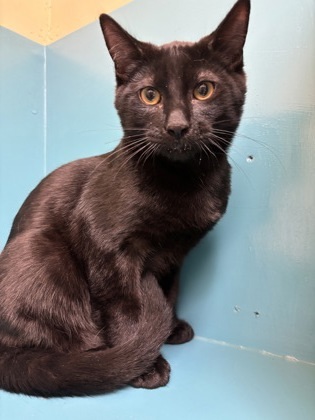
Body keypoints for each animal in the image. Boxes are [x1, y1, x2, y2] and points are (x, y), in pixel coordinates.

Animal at [0, 0, 252, 398]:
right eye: (150, 95)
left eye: (204, 90)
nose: (177, 126)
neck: (182, 182)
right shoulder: (107, 248)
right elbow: (127, 306)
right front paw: (144, 361)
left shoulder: (176, 253)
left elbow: (170, 290)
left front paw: (170, 327)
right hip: (41, 252)